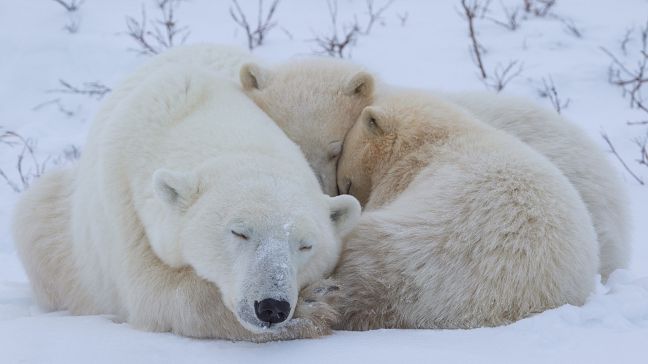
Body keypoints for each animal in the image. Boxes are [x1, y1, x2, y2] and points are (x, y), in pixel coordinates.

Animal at [11, 59, 360, 342]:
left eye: (305, 245)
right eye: (239, 232)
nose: (272, 307)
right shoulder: (126, 206)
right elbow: (153, 293)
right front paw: (316, 305)